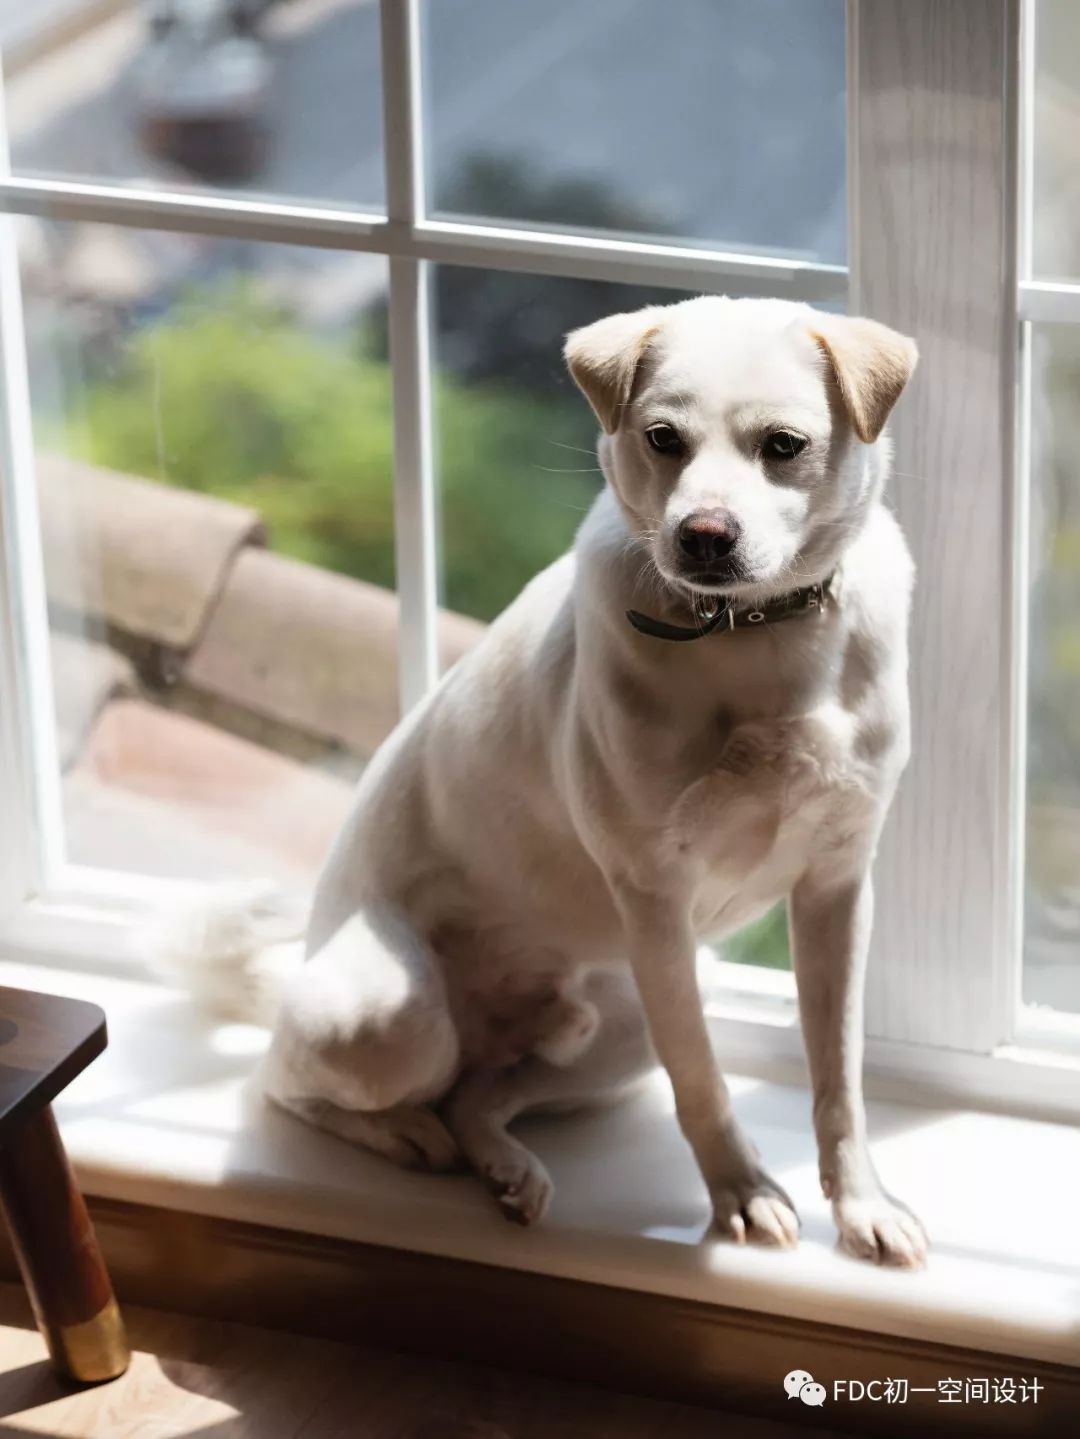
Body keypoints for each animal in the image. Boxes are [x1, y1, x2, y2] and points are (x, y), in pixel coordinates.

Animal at [166, 297, 931, 1266]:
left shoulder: (834, 887)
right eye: (663, 437)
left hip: (627, 1015)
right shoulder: (656, 901)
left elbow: (840, 1079)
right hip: (390, 1011)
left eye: (784, 445)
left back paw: (504, 1163)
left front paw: (863, 1203)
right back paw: (405, 1134)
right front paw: (741, 1192)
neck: (755, 637)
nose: (704, 535)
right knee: (289, 1083)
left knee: (477, 1096)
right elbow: (703, 1078)